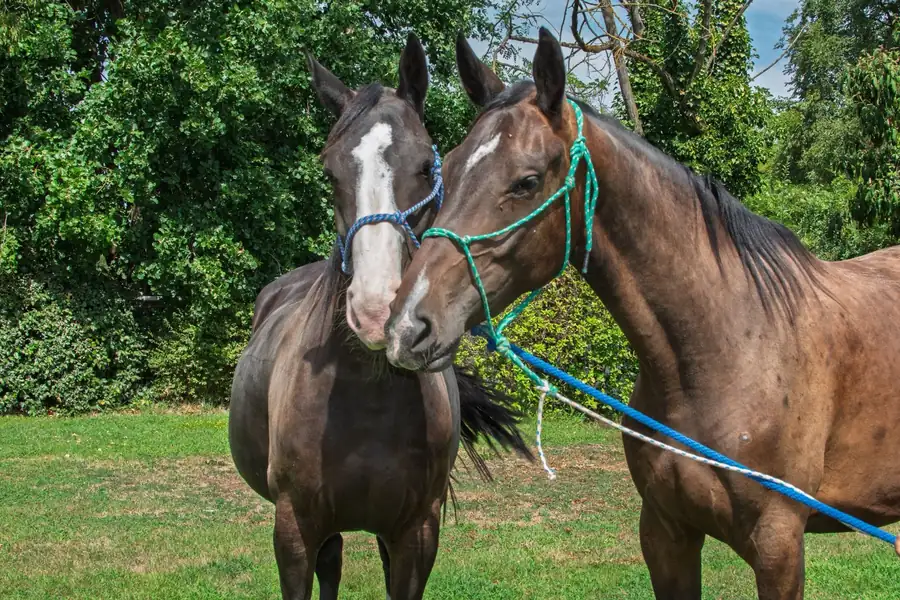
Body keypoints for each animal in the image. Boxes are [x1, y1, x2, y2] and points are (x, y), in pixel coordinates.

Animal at [229, 34, 531, 600]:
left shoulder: (416, 533)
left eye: (427, 167)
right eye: (329, 172)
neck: (366, 398)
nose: (375, 310)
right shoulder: (294, 530)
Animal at [384, 28, 900, 599]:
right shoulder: (665, 533)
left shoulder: (779, 546)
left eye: (527, 181)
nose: (408, 325)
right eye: (446, 170)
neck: (728, 351)